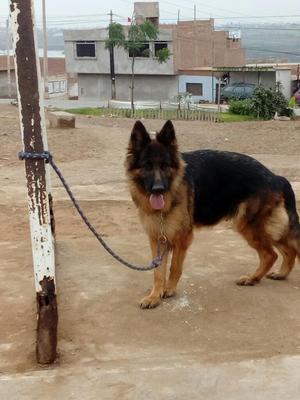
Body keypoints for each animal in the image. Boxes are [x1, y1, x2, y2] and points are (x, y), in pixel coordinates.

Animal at [125, 120, 300, 308]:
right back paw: (280, 274)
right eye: (147, 166)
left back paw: (252, 278)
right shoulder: (158, 238)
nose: (159, 189)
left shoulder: (182, 238)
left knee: (271, 255)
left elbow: (174, 267)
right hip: (268, 229)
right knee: (288, 250)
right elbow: (158, 272)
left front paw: (169, 289)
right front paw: (154, 296)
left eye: (165, 166)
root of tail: (276, 177)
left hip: (250, 227)